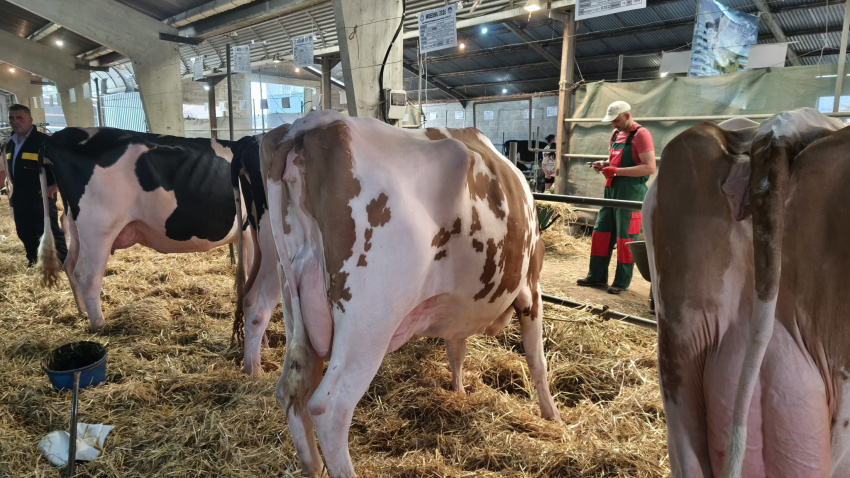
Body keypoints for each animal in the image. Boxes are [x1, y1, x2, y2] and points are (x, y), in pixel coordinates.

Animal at [35, 127, 277, 375]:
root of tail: (58, 136)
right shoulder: (249, 234)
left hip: (75, 224)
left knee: (70, 264)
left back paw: (82, 311)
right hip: (98, 226)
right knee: (88, 275)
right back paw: (99, 326)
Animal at [261, 110, 561, 477]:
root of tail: (317, 123)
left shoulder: (455, 308)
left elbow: (456, 350)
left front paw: (459, 391)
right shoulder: (531, 289)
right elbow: (537, 359)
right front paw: (552, 415)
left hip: (295, 306)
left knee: (292, 390)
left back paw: (313, 466)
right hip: (369, 322)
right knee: (328, 406)